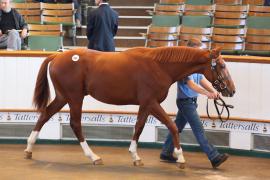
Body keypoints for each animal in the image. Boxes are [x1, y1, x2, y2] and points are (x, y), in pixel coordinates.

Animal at [24, 46, 234, 169]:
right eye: (222, 66)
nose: (231, 90)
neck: (159, 65)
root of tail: (57, 55)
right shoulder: (151, 102)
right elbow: (171, 126)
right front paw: (181, 158)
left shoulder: (146, 104)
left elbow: (139, 126)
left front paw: (135, 156)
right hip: (74, 98)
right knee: (75, 124)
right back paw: (93, 157)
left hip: (63, 97)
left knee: (44, 115)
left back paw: (29, 149)